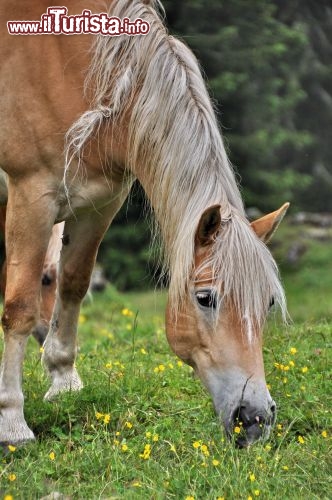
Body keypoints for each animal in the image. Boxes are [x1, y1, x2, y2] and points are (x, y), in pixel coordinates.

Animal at [0, 0, 288, 446]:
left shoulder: (99, 203)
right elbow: (19, 307)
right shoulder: (32, 197)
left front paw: (64, 384)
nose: (255, 417)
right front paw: (13, 422)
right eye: (205, 298)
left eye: (269, 302)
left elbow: (73, 284)